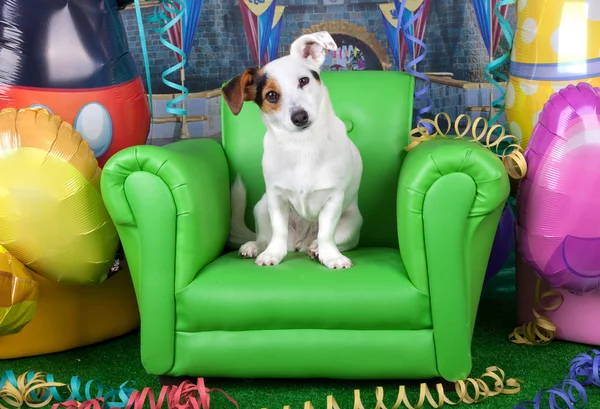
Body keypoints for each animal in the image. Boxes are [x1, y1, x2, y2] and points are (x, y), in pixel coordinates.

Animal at [220, 31, 360, 268]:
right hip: (261, 207)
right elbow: (278, 232)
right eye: (271, 95)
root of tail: (299, 243)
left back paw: (315, 250)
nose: (300, 116)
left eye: (304, 80)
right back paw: (253, 247)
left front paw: (331, 256)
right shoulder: (276, 198)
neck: (302, 145)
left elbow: (326, 234)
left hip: (352, 224)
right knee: (264, 237)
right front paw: (272, 254)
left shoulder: (333, 200)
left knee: (322, 239)